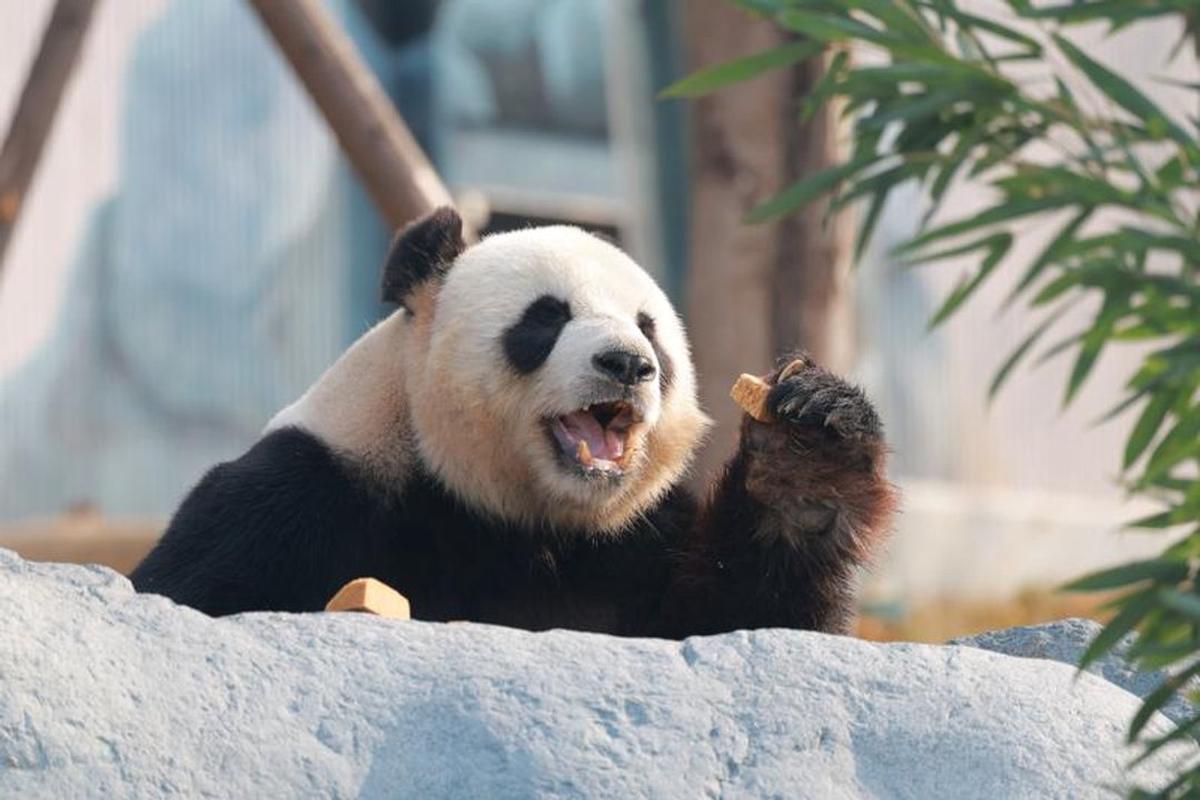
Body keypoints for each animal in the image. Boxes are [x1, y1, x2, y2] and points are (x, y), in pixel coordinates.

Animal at [131, 207, 897, 637]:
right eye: (546, 318)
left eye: (649, 329)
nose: (628, 363)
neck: (524, 518)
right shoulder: (301, 494)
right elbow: (194, 591)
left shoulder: (639, 540)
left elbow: (749, 620)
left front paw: (807, 455)